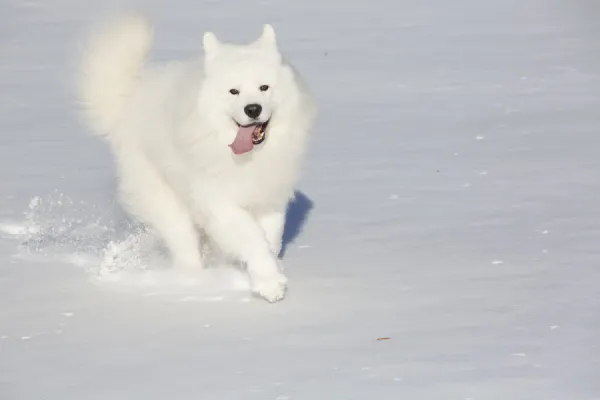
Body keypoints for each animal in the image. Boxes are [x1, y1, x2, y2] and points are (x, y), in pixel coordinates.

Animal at [76, 14, 318, 302]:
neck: (245, 158)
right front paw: (270, 283)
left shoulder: (270, 202)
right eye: (233, 91)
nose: (253, 109)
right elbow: (252, 239)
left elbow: (270, 239)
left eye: (264, 87)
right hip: (167, 203)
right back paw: (193, 283)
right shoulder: (220, 203)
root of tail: (130, 100)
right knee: (185, 248)